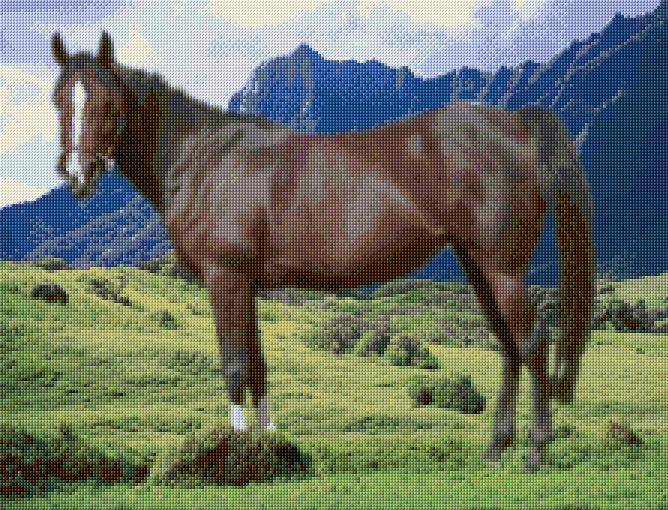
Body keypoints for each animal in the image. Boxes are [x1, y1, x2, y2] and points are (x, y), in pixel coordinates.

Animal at [50, 31, 596, 470]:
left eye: (107, 101)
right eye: (59, 99)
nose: (77, 176)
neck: (203, 160)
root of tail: (514, 125)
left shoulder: (225, 276)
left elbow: (235, 365)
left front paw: (237, 449)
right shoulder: (248, 284)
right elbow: (258, 366)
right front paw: (268, 443)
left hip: (502, 266)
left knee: (531, 343)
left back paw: (534, 453)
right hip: (478, 264)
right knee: (508, 347)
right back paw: (495, 451)